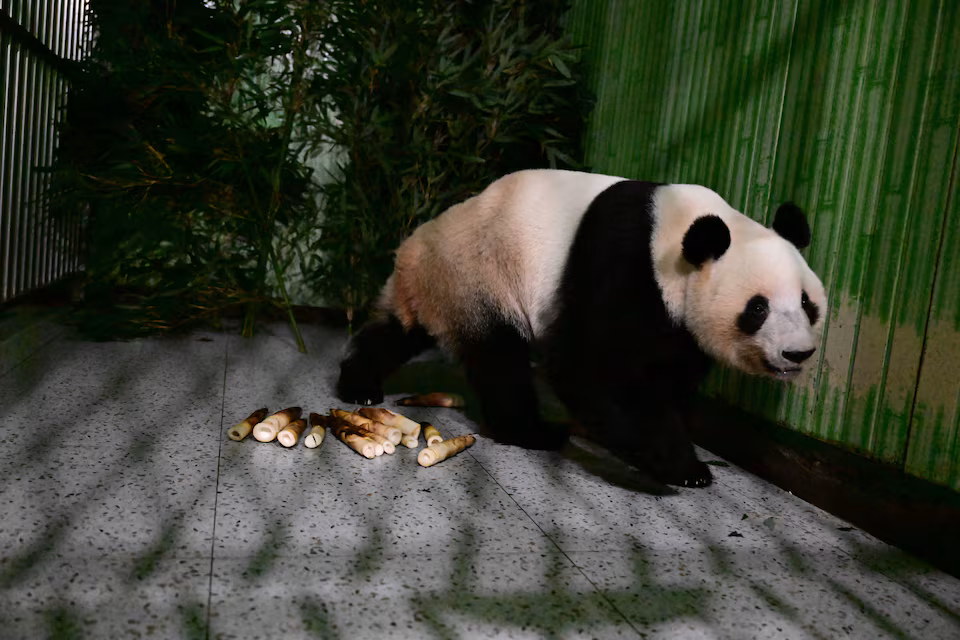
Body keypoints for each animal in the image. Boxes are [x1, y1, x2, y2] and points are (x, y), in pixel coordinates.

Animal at [336, 169, 827, 488]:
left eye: (807, 303)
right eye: (758, 308)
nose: (797, 354)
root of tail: (415, 248)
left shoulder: (679, 325)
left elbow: (670, 374)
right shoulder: (623, 263)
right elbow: (588, 365)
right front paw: (678, 465)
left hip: (441, 289)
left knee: (397, 332)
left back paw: (359, 384)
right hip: (478, 276)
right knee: (500, 359)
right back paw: (534, 431)